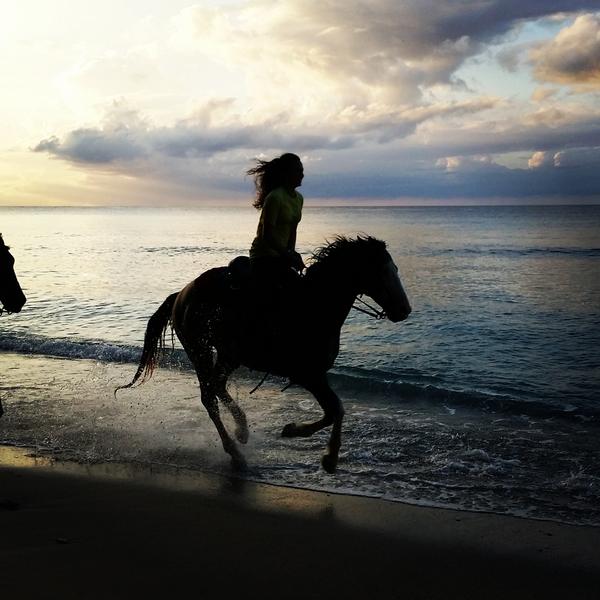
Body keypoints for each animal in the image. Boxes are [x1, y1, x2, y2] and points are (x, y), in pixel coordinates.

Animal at [118, 235, 411, 473]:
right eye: (383, 272)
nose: (404, 310)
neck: (315, 305)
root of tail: (182, 293)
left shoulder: (314, 375)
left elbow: (333, 411)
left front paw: (297, 434)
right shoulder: (308, 374)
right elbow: (336, 409)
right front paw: (326, 457)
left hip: (227, 354)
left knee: (217, 387)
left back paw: (242, 429)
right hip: (198, 349)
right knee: (209, 397)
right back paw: (236, 453)